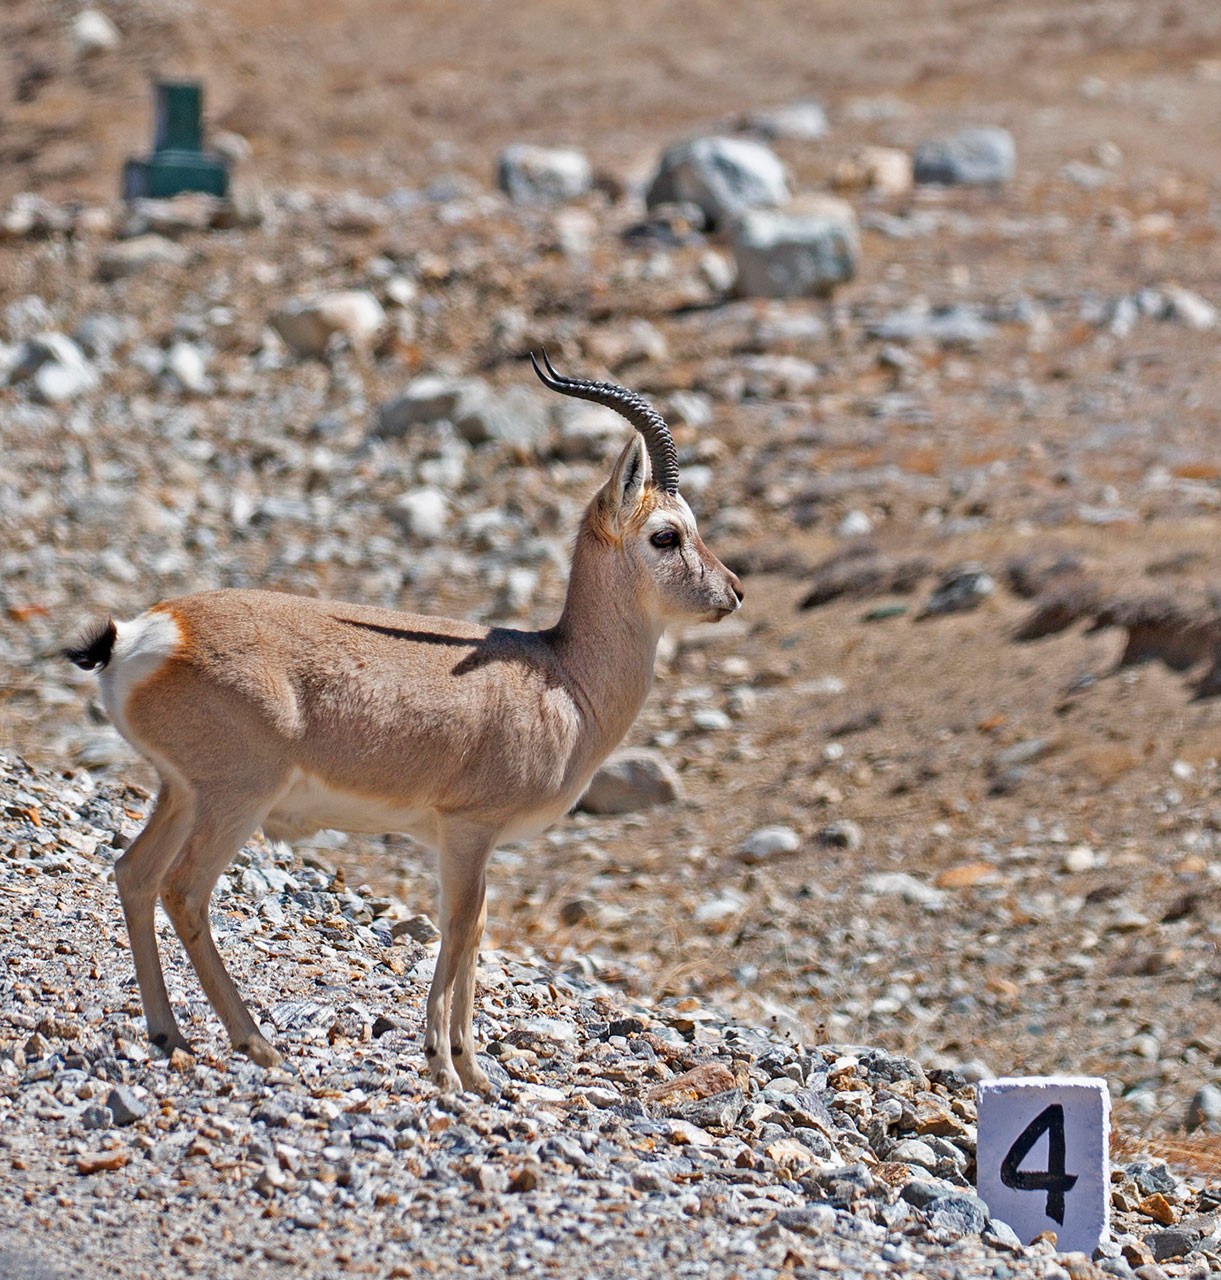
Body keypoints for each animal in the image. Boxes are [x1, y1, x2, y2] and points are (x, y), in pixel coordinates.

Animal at [64, 354, 743, 1093]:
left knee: (134, 875)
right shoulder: (468, 830)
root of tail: (150, 632)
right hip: (235, 800)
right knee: (184, 891)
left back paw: (171, 1033)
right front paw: (449, 1065)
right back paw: (257, 1044)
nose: (733, 593)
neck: (562, 677)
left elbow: (472, 930)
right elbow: (461, 927)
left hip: (182, 793)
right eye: (666, 535)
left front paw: (465, 1070)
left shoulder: (467, 840)